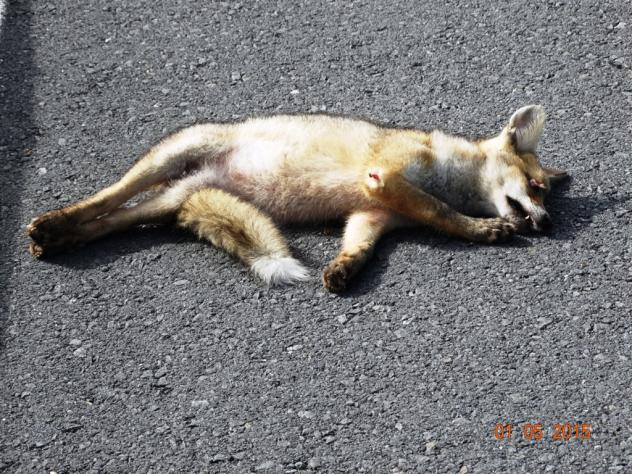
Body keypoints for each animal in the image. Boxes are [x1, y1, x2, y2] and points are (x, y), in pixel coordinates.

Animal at [27, 105, 567, 292]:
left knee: (111, 221)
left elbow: (360, 248)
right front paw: (484, 230)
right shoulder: (385, 178)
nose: (547, 223)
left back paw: (59, 237)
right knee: (106, 199)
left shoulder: (373, 214)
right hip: (166, 159)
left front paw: (344, 271)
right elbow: (444, 214)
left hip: (167, 201)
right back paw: (53, 221)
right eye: (536, 188)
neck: (447, 170)